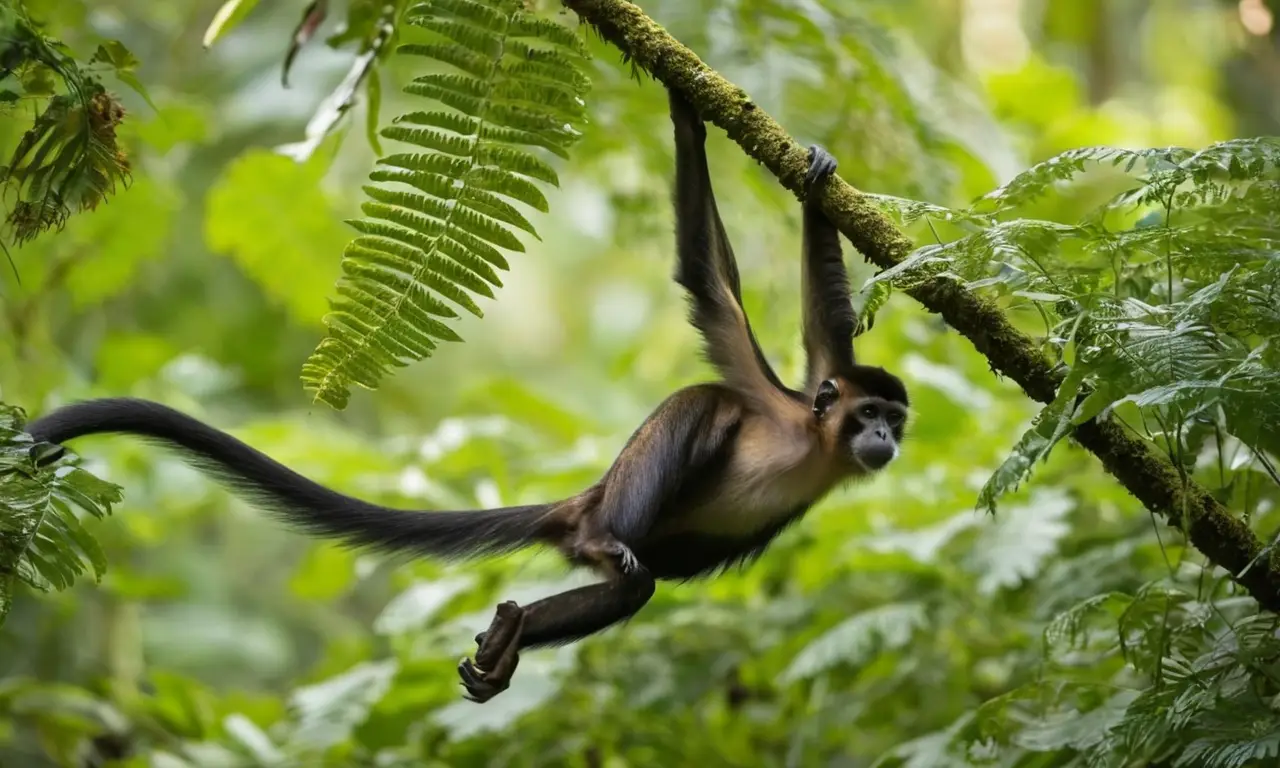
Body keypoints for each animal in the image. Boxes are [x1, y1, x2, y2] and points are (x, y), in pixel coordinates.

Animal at [23, 86, 909, 704]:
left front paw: (814, 182)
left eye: (896, 422)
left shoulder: (810, 391)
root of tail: (588, 504)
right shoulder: (776, 396)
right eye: (870, 417)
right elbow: (715, 290)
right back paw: (580, 565)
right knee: (690, 424)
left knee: (632, 586)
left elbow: (815, 321)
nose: (885, 443)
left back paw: (510, 633)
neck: (812, 441)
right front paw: (697, 121)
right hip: (625, 497)